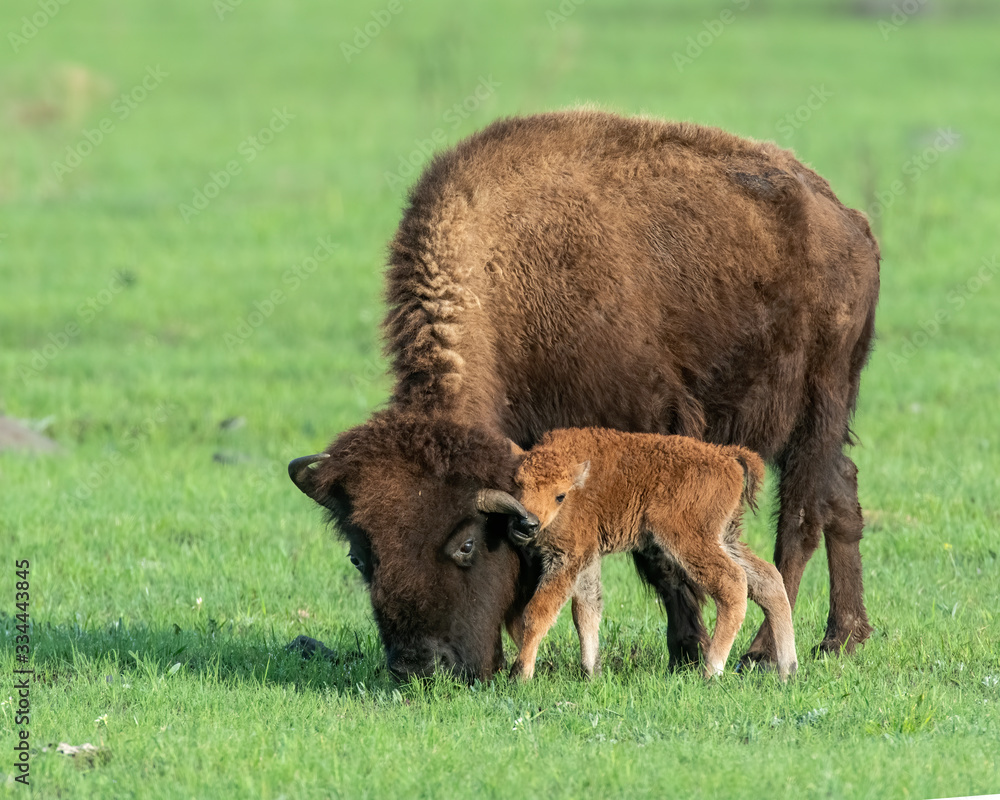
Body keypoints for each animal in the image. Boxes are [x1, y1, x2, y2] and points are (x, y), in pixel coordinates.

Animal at [288, 109, 880, 682]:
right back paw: (843, 637)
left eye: (467, 543)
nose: (420, 667)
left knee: (799, 523)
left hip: (817, 409)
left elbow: (657, 558)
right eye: (360, 557)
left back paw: (761, 653)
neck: (505, 276)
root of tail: (849, 221)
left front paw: (686, 652)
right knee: (840, 496)